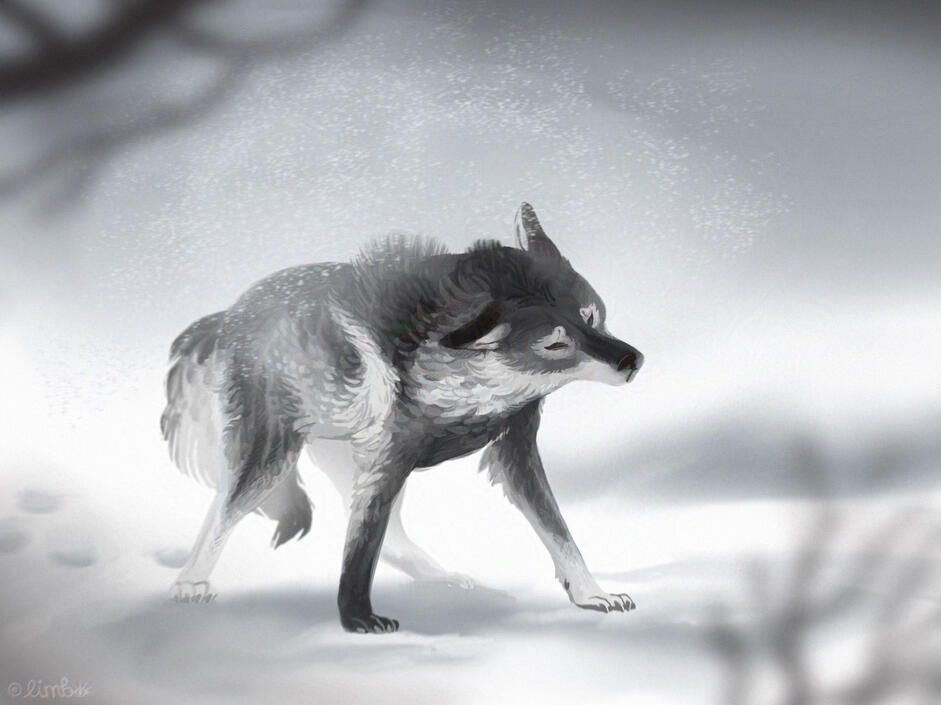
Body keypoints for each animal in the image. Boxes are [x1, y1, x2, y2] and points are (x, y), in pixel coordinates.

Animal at [161, 203, 644, 633]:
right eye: (556, 345)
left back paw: (441, 576)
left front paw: (590, 593)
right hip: (274, 459)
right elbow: (360, 550)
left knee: (379, 535)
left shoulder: (514, 449)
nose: (632, 361)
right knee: (225, 508)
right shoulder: (389, 459)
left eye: (590, 318)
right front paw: (356, 619)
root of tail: (228, 315)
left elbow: (559, 532)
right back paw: (189, 581)